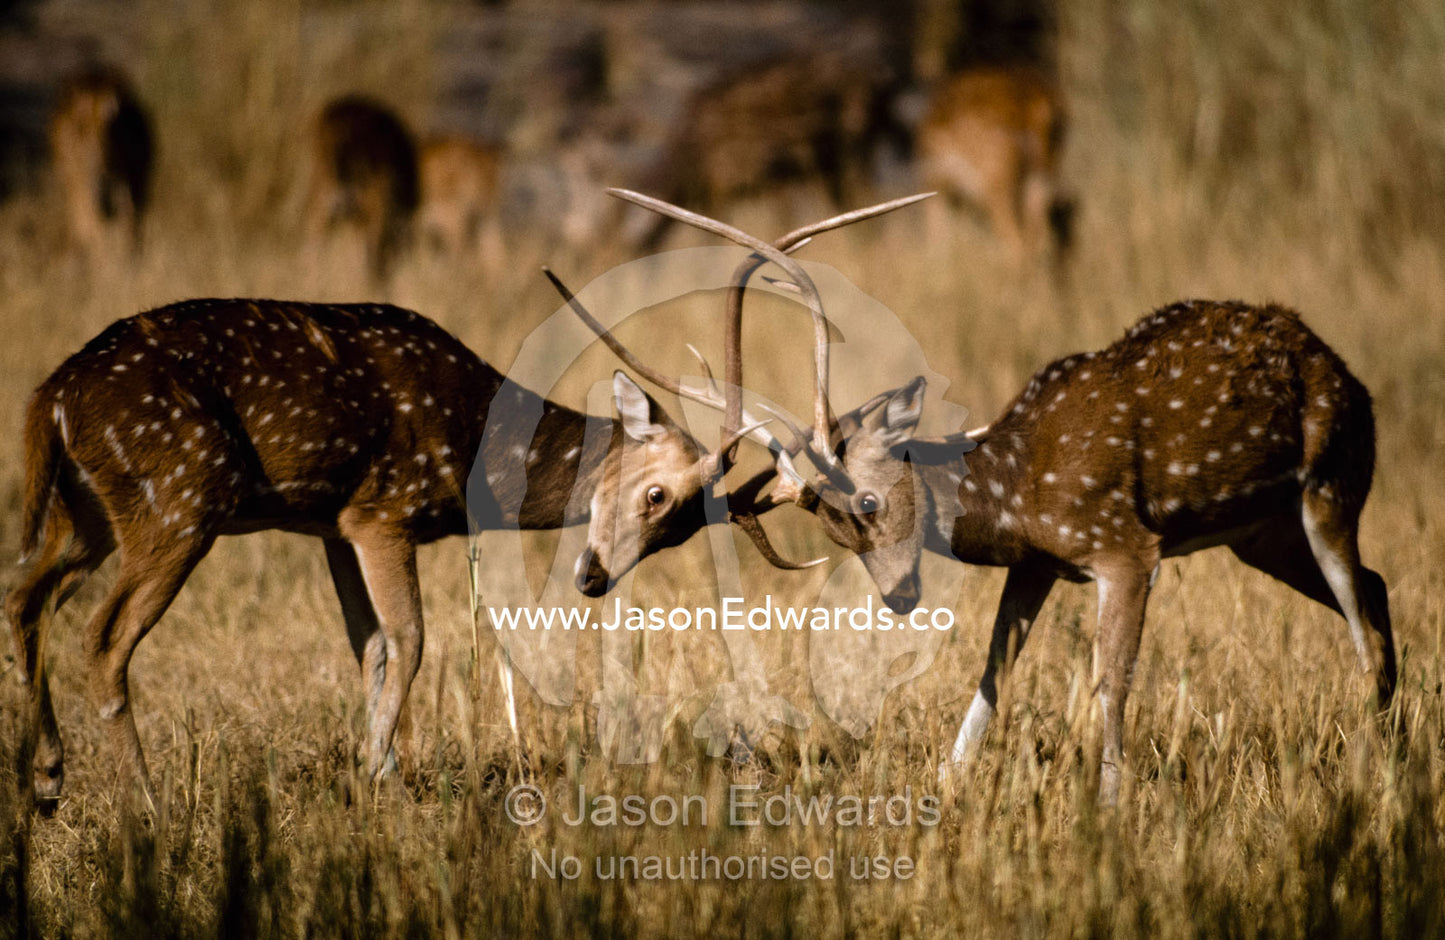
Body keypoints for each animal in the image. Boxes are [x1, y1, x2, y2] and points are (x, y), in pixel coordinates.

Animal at [5, 195, 921, 807]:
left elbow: (373, 646)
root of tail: (50, 396)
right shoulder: (383, 509)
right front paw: (377, 780)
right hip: (179, 499)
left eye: (675, 531)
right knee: (102, 636)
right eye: (657, 492)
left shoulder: (332, 522)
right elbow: (412, 641)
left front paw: (374, 769)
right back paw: (145, 802)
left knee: (25, 593)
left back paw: (46, 777)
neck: (476, 443)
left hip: (88, 510)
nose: (593, 578)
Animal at [49, 67, 155, 258]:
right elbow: (92, 228)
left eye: (114, 122)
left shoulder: (134, 183)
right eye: (81, 126)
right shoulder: (85, 187)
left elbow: (130, 227)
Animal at [605, 194, 1397, 805]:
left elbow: (1109, 681)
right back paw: (1391, 742)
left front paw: (1110, 807)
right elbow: (994, 670)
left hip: (1331, 483)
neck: (1015, 490)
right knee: (1378, 587)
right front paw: (946, 787)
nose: (900, 598)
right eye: (830, 533)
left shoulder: (1124, 548)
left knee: (1360, 622)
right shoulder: (1037, 562)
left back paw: (1371, 769)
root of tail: (1350, 378)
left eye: (869, 503)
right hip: (1259, 534)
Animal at [916, 64, 1073, 266]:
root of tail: (1039, 106)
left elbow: (938, 244)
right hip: (1042, 176)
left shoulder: (936, 185)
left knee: (1017, 243)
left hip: (997, 186)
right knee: (1035, 240)